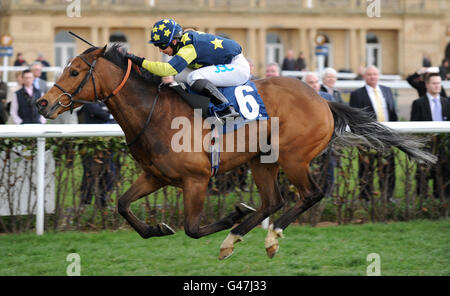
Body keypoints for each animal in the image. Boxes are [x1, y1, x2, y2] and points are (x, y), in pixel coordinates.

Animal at [36, 45, 436, 260]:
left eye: (74, 72)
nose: (44, 102)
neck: (156, 113)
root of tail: (322, 99)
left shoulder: (196, 180)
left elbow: (193, 228)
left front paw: (230, 215)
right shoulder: (155, 176)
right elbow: (122, 205)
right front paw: (157, 228)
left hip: (293, 157)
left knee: (310, 194)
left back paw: (265, 237)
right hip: (262, 161)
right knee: (273, 201)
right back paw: (240, 236)